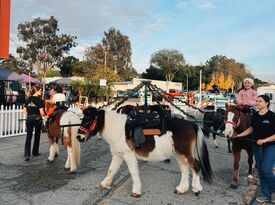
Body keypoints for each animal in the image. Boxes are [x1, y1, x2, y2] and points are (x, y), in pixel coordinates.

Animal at [77, 105, 213, 197]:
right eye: (82, 119)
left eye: (88, 120)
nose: (78, 137)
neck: (119, 129)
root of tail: (191, 124)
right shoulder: (117, 155)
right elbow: (111, 170)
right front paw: (105, 184)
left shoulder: (128, 155)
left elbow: (133, 172)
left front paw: (136, 191)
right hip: (180, 154)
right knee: (185, 169)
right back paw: (182, 189)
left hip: (184, 153)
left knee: (195, 166)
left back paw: (196, 189)